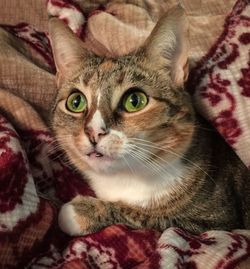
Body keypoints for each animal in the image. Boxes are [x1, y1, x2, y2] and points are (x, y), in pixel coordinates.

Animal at [47, 4, 249, 234]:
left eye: (134, 101)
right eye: (76, 102)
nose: (93, 131)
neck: (128, 179)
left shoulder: (217, 222)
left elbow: (155, 217)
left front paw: (81, 212)